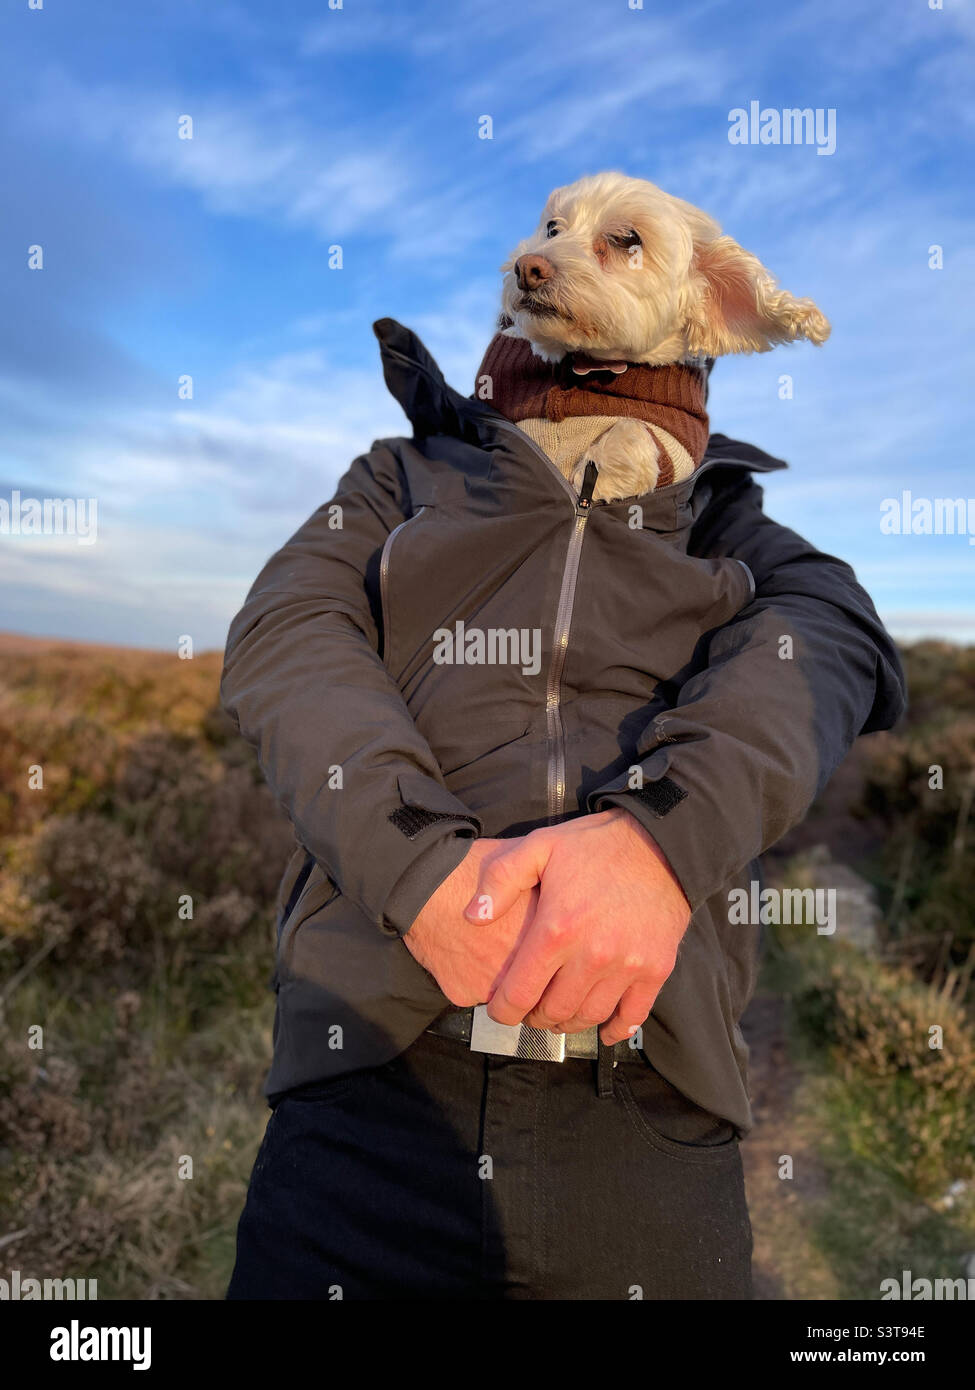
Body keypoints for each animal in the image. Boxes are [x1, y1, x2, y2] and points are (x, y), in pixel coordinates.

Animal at [495, 170, 828, 503]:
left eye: (626, 239)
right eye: (552, 229)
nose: (527, 268)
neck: (590, 363)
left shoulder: (676, 446)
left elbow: (633, 427)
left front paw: (594, 477)